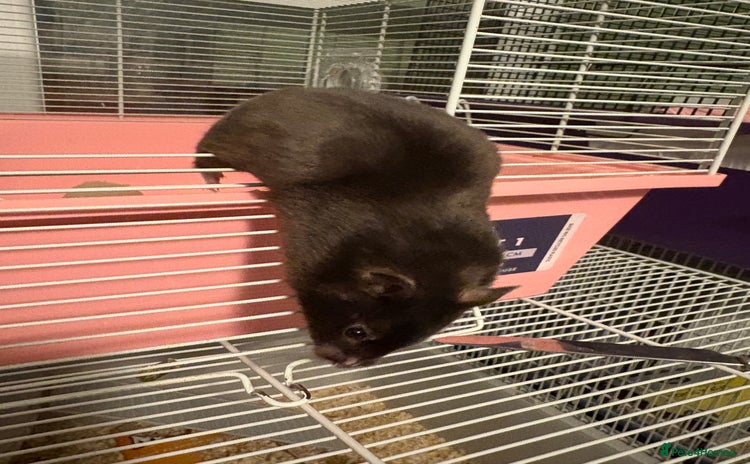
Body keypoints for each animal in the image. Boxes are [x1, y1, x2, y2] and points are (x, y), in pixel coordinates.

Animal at [195, 87, 514, 367]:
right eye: (357, 332)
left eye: (411, 341)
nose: (345, 365)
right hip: (231, 144)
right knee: (204, 152)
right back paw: (213, 182)